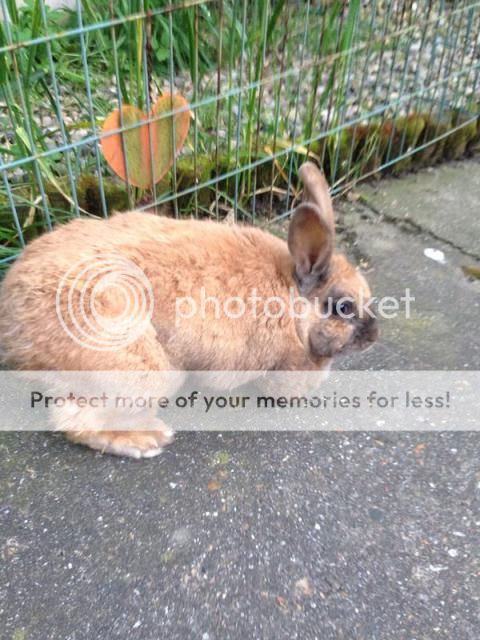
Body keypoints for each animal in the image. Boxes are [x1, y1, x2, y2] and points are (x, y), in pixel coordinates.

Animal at [0, 162, 378, 458]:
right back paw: (147, 439)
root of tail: (12, 333)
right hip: (139, 370)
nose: (374, 337)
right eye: (344, 307)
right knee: (77, 421)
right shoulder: (286, 366)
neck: (295, 299)